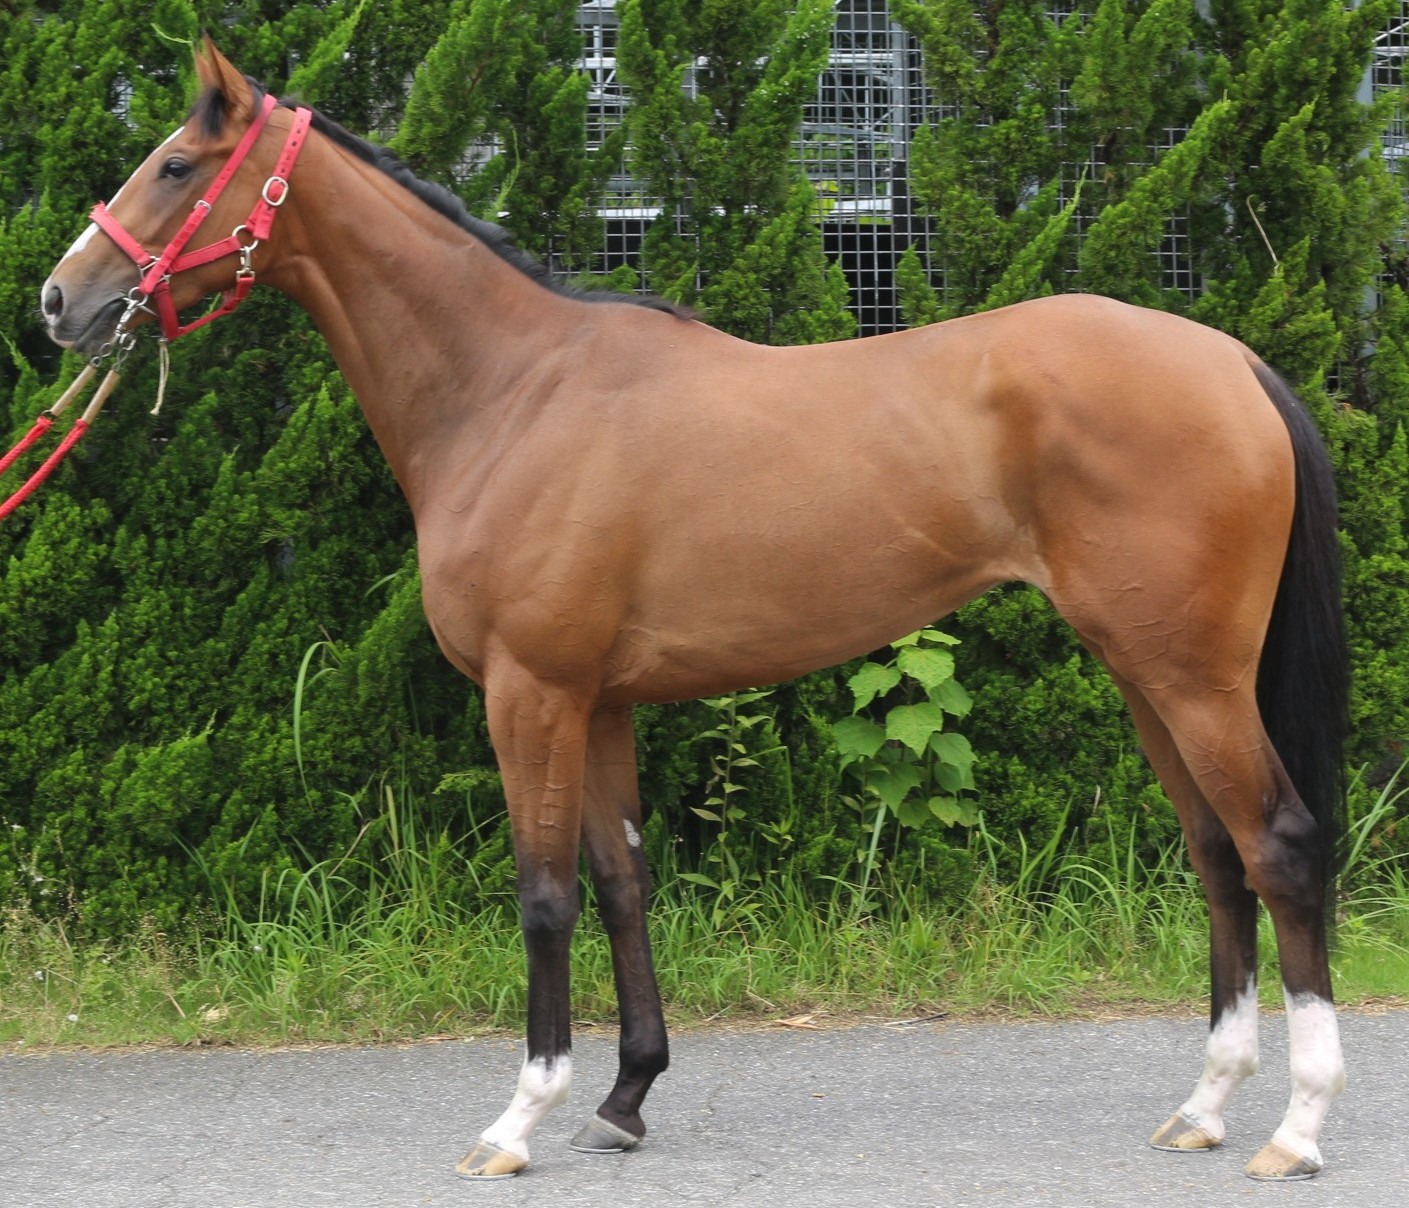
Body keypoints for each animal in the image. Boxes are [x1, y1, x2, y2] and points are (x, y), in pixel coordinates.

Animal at [38, 41, 1348, 1183]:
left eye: (174, 164)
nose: (59, 300)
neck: (511, 391)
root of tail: (1229, 360)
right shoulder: (601, 700)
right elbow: (622, 882)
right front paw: (623, 1098)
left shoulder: (531, 693)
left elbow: (544, 895)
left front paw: (518, 1116)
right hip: (1144, 669)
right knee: (1214, 853)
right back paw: (1202, 1105)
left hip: (1187, 674)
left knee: (1275, 845)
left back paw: (1295, 1127)